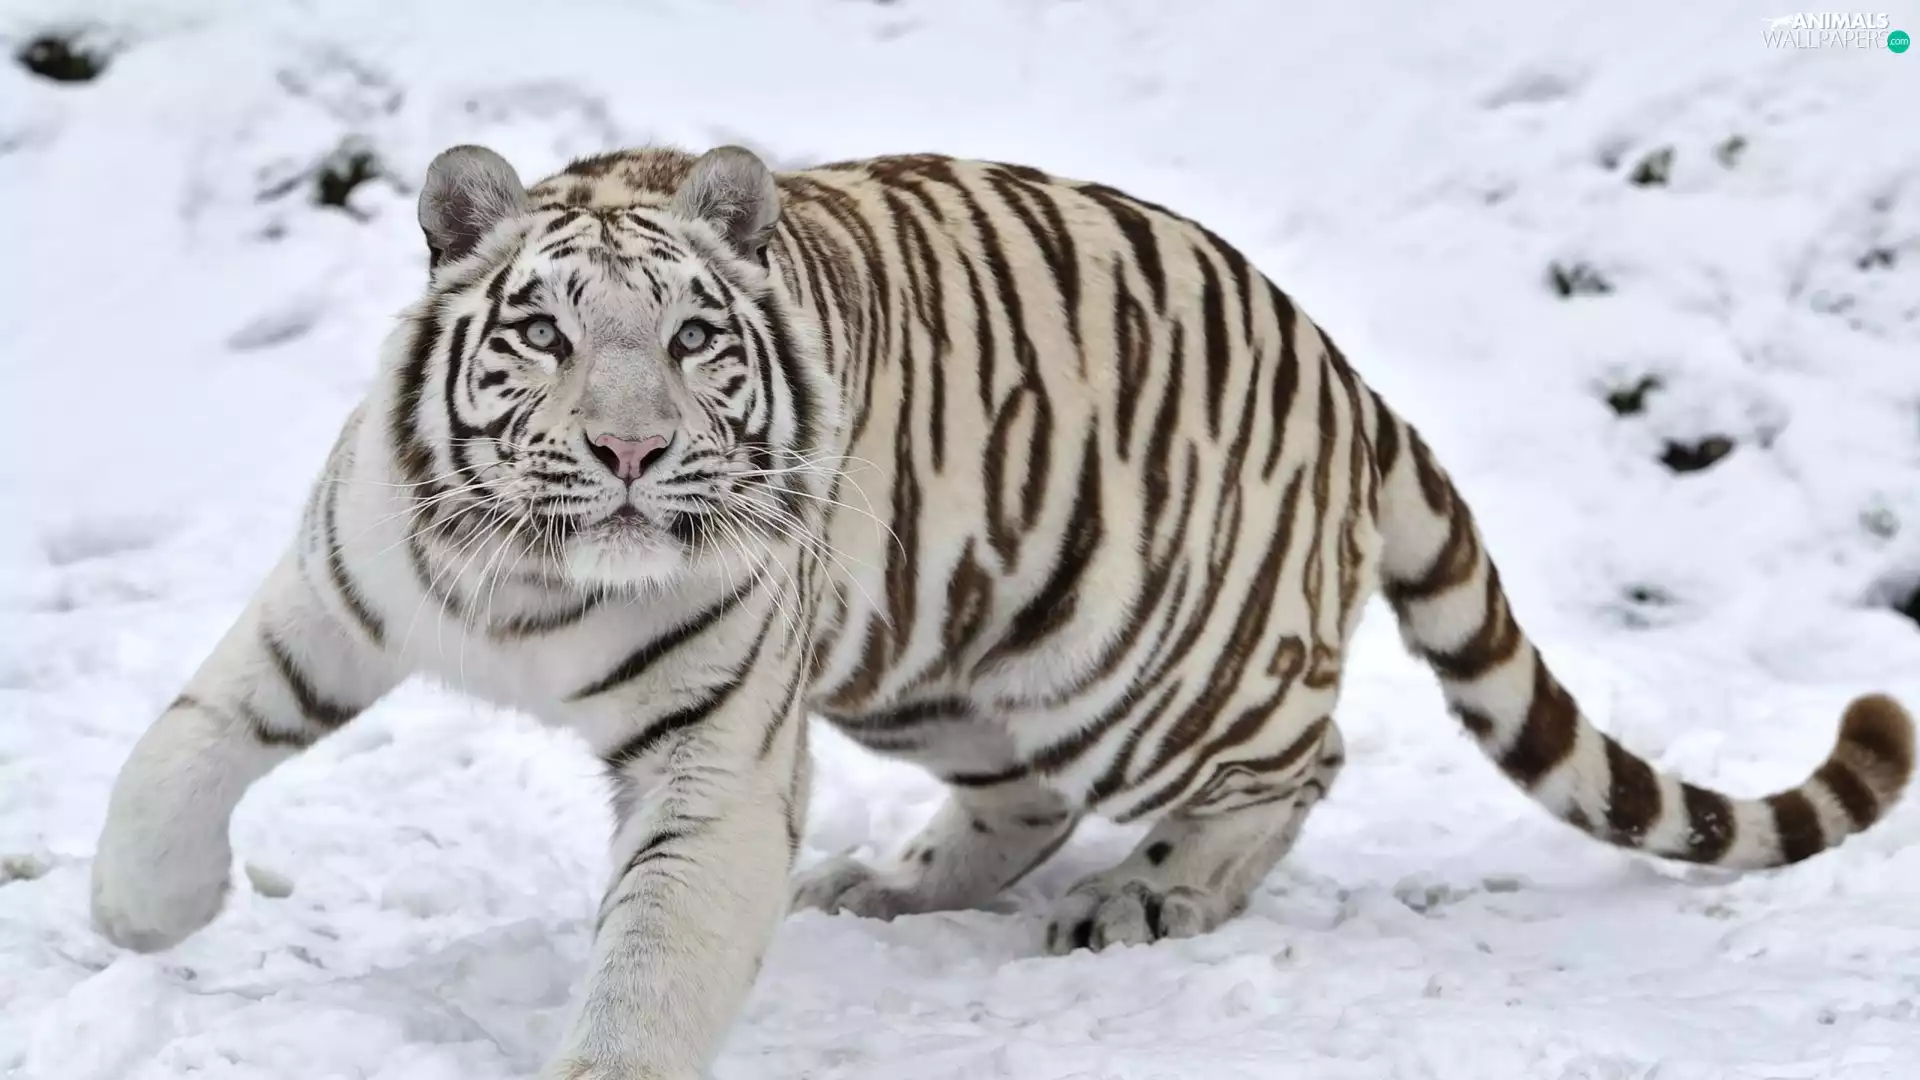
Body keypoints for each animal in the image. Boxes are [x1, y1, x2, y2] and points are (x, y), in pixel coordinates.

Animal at [88, 142, 1914, 1080]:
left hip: (1153, 659)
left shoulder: (714, 760)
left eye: (689, 340)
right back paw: (892, 889)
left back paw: (1149, 898)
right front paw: (141, 919)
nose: (629, 449)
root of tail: (1346, 371)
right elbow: (184, 740)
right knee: (1022, 797)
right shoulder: (342, 589)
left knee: (1298, 757)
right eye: (541, 333)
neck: (541, 580)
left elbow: (653, 962)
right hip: (940, 655)